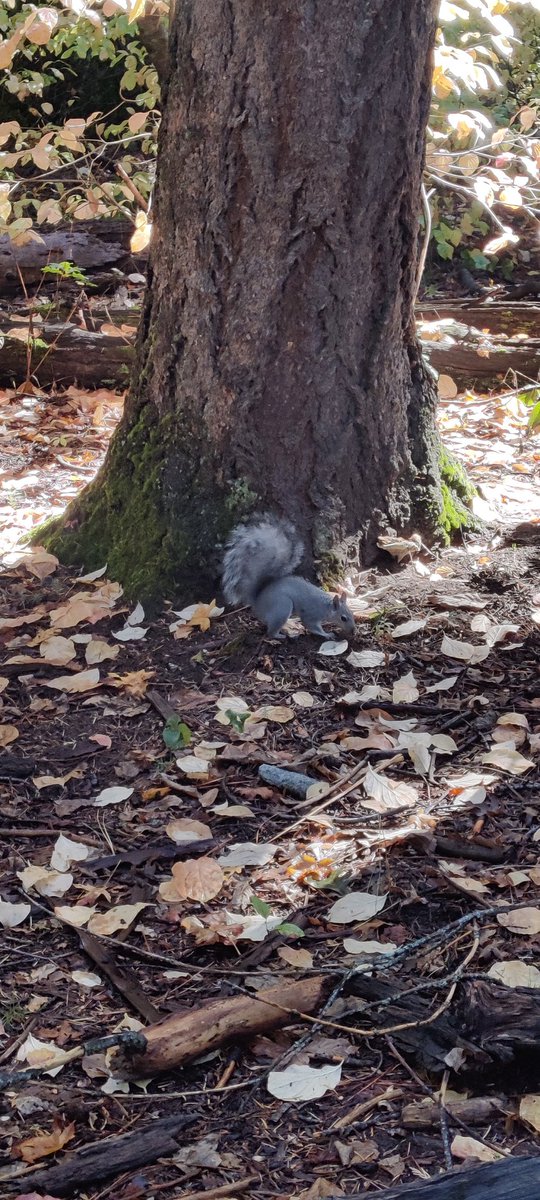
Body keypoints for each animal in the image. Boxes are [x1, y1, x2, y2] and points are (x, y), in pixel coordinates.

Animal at [222, 515, 356, 640]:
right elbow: (312, 626)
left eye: (352, 613)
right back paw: (281, 635)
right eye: (343, 618)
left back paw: (291, 622)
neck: (326, 607)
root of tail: (257, 601)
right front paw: (327, 634)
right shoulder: (312, 614)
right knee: (270, 632)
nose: (353, 630)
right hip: (282, 607)